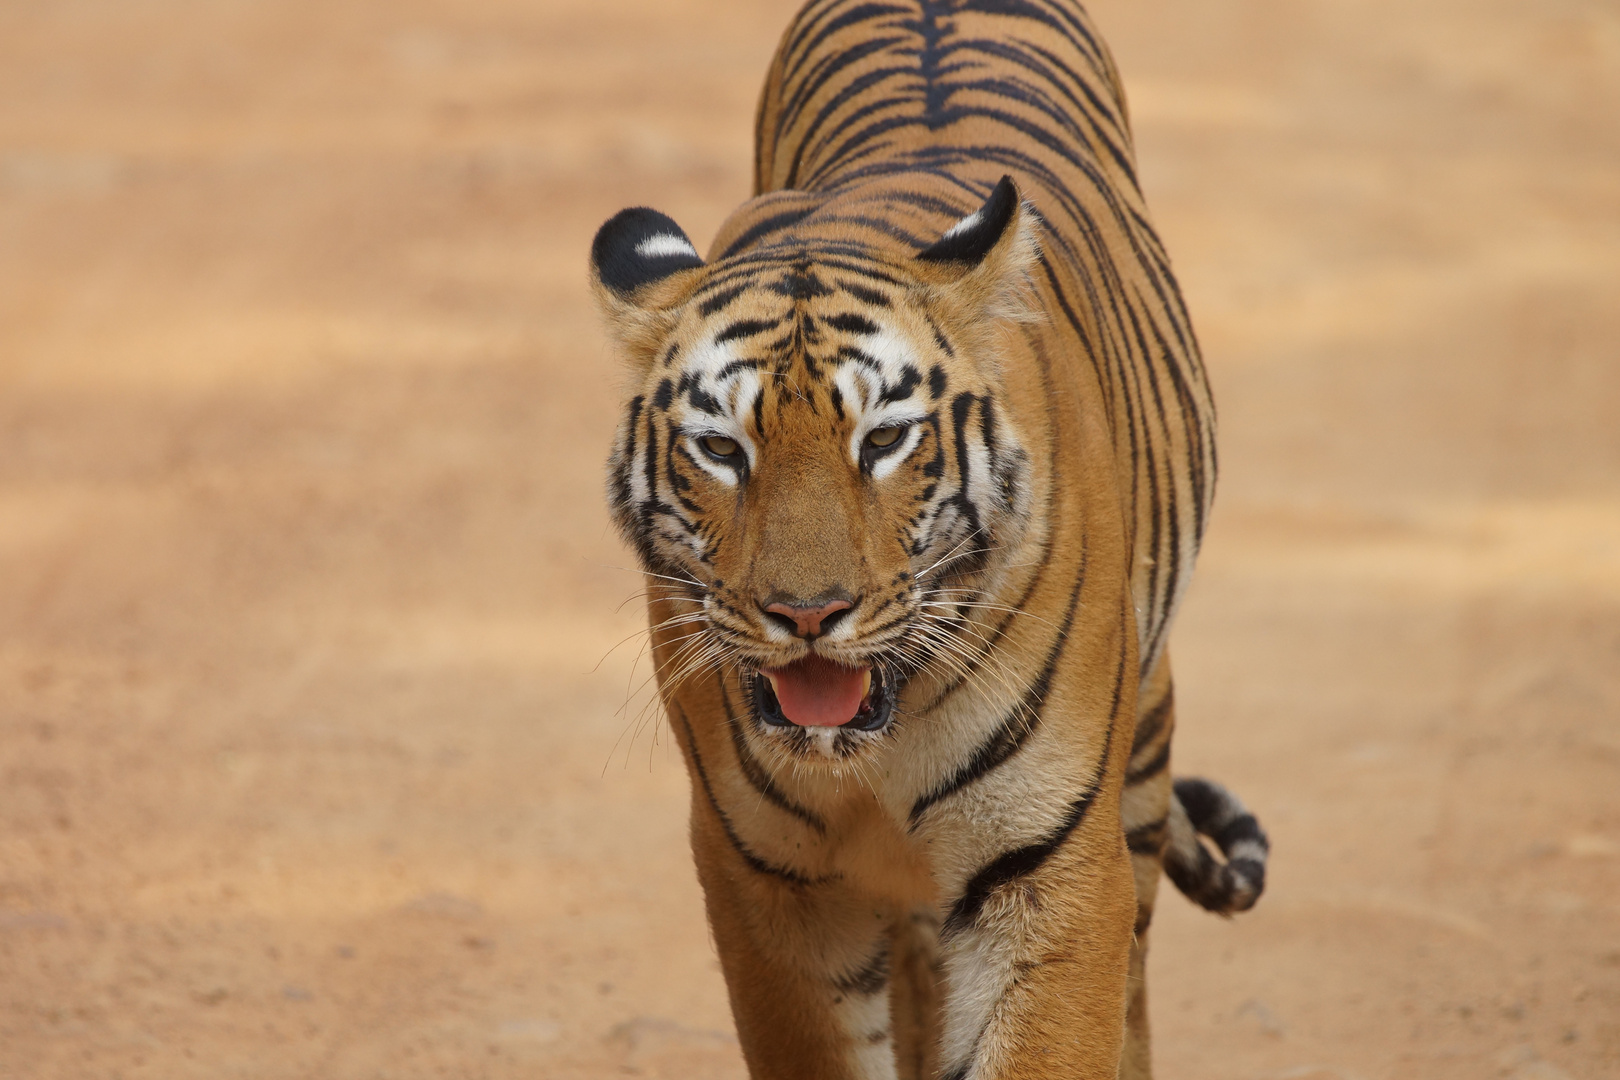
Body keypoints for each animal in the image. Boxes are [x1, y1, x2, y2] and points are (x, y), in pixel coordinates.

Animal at [589, 2, 1270, 1080]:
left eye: (882, 440)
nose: (808, 615)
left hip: (1144, 748)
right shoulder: (764, 879)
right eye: (722, 448)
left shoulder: (1053, 868)